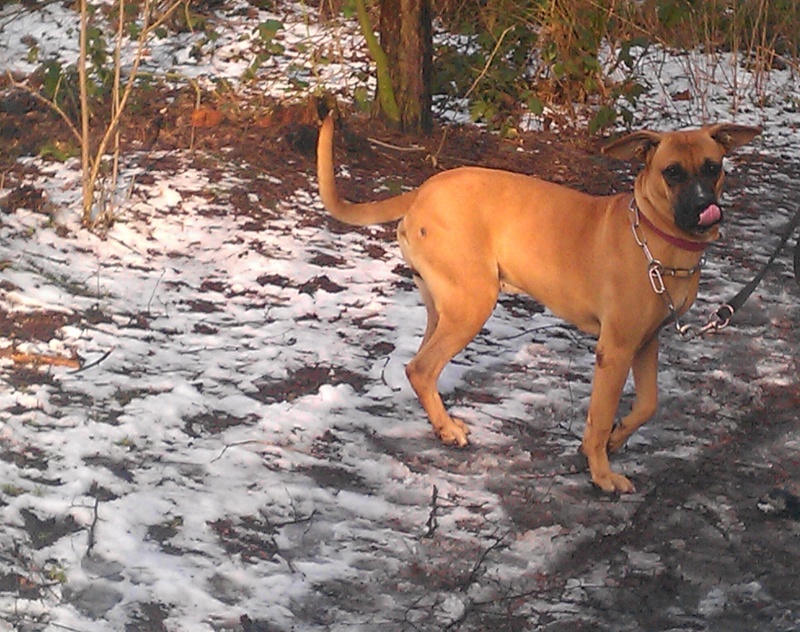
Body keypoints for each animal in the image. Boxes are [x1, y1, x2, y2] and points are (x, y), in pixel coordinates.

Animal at [316, 117, 760, 494]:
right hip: (472, 304)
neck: (656, 237)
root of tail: (421, 192)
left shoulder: (647, 341)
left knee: (420, 366)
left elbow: (648, 404)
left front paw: (617, 439)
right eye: (672, 172)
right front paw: (601, 473)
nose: (705, 208)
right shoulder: (615, 350)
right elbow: (600, 416)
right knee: (422, 368)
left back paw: (442, 424)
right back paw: (449, 430)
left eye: (713, 167)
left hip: (443, 306)